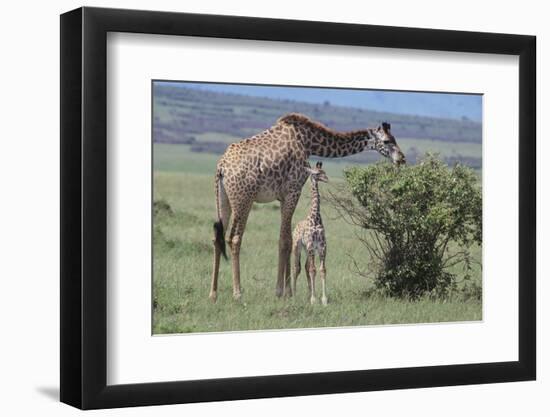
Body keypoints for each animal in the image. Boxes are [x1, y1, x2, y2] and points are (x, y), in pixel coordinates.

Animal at [292, 161, 330, 304]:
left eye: (324, 171)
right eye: (317, 173)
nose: (326, 179)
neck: (315, 218)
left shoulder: (322, 246)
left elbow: (322, 270)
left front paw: (323, 299)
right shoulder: (311, 245)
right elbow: (313, 270)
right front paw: (314, 299)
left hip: (307, 250)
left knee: (306, 267)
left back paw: (308, 293)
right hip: (297, 246)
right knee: (296, 268)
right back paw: (294, 295)